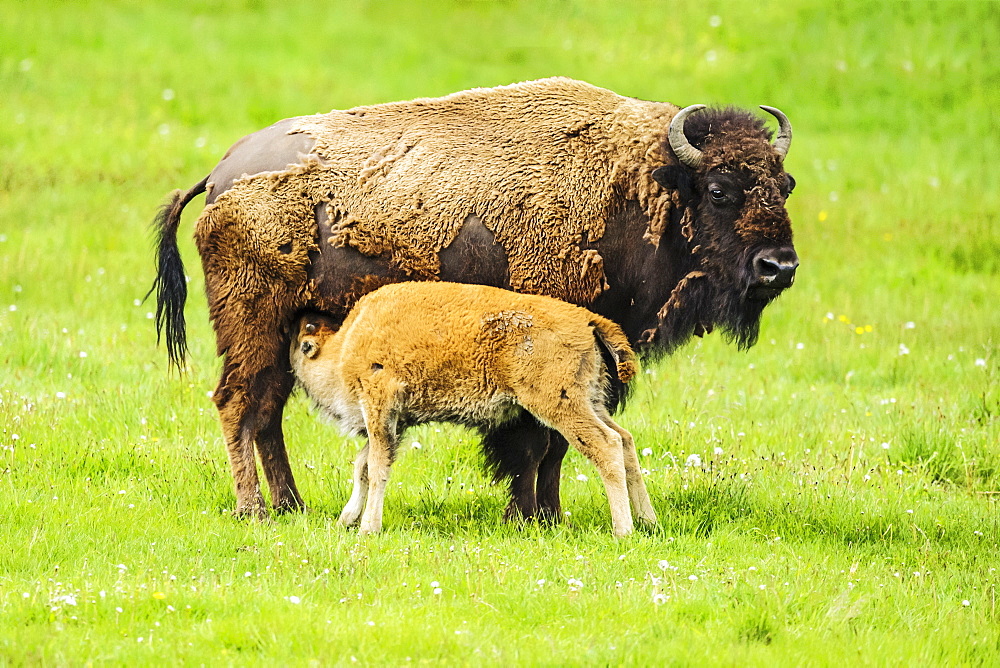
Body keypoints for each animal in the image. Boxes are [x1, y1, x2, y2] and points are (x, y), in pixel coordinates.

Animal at [292, 282, 656, 536]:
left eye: (302, 346)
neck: (346, 345)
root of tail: (588, 320)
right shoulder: (394, 422)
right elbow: (363, 464)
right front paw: (346, 519)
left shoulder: (381, 406)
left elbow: (377, 466)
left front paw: (369, 527)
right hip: (590, 401)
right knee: (625, 441)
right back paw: (648, 521)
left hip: (560, 406)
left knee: (606, 445)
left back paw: (623, 529)